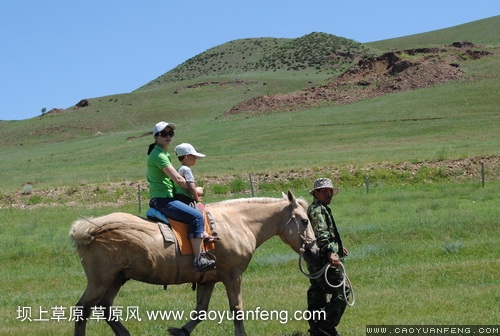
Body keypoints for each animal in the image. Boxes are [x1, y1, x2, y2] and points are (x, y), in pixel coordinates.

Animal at [70, 190, 316, 334]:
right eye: (305, 220)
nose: (313, 249)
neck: (237, 222)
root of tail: (88, 229)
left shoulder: (208, 280)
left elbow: (200, 311)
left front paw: (181, 330)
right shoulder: (233, 275)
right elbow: (236, 308)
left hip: (116, 279)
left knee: (105, 307)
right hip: (100, 281)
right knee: (82, 310)